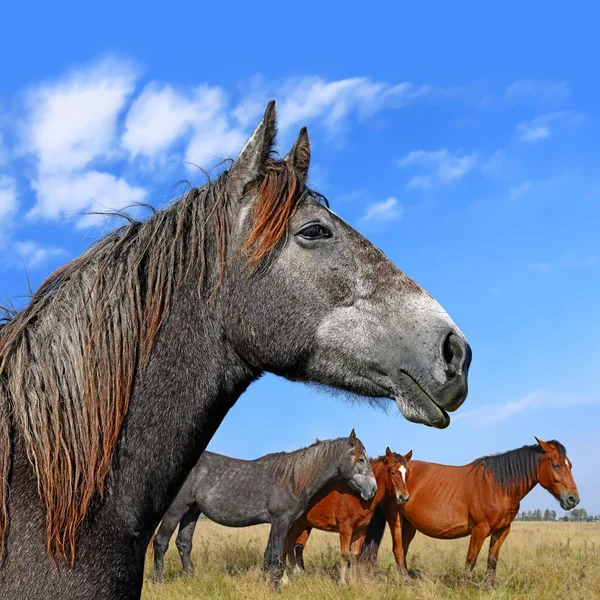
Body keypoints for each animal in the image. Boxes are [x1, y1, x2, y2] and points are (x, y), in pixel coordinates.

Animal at [151, 432, 376, 584]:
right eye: (361, 459)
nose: (372, 490)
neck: (292, 479)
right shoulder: (281, 521)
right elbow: (276, 555)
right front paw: (276, 585)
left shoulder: (277, 523)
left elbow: (269, 555)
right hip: (176, 509)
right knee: (161, 542)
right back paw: (159, 582)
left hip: (192, 511)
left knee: (184, 544)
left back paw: (192, 578)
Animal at [284, 448, 410, 584]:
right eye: (392, 472)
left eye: (408, 473)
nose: (404, 497)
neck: (357, 495)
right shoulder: (345, 529)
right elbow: (345, 554)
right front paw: (342, 582)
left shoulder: (360, 531)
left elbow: (354, 555)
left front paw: (352, 581)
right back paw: (285, 579)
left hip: (299, 524)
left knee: (290, 545)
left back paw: (297, 573)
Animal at [358, 438, 580, 584]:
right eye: (556, 465)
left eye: (570, 465)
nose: (573, 499)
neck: (498, 486)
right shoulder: (480, 529)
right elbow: (471, 559)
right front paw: (465, 585)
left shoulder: (502, 530)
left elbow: (492, 560)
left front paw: (489, 586)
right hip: (395, 518)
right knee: (398, 549)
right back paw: (405, 581)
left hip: (410, 524)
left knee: (403, 549)